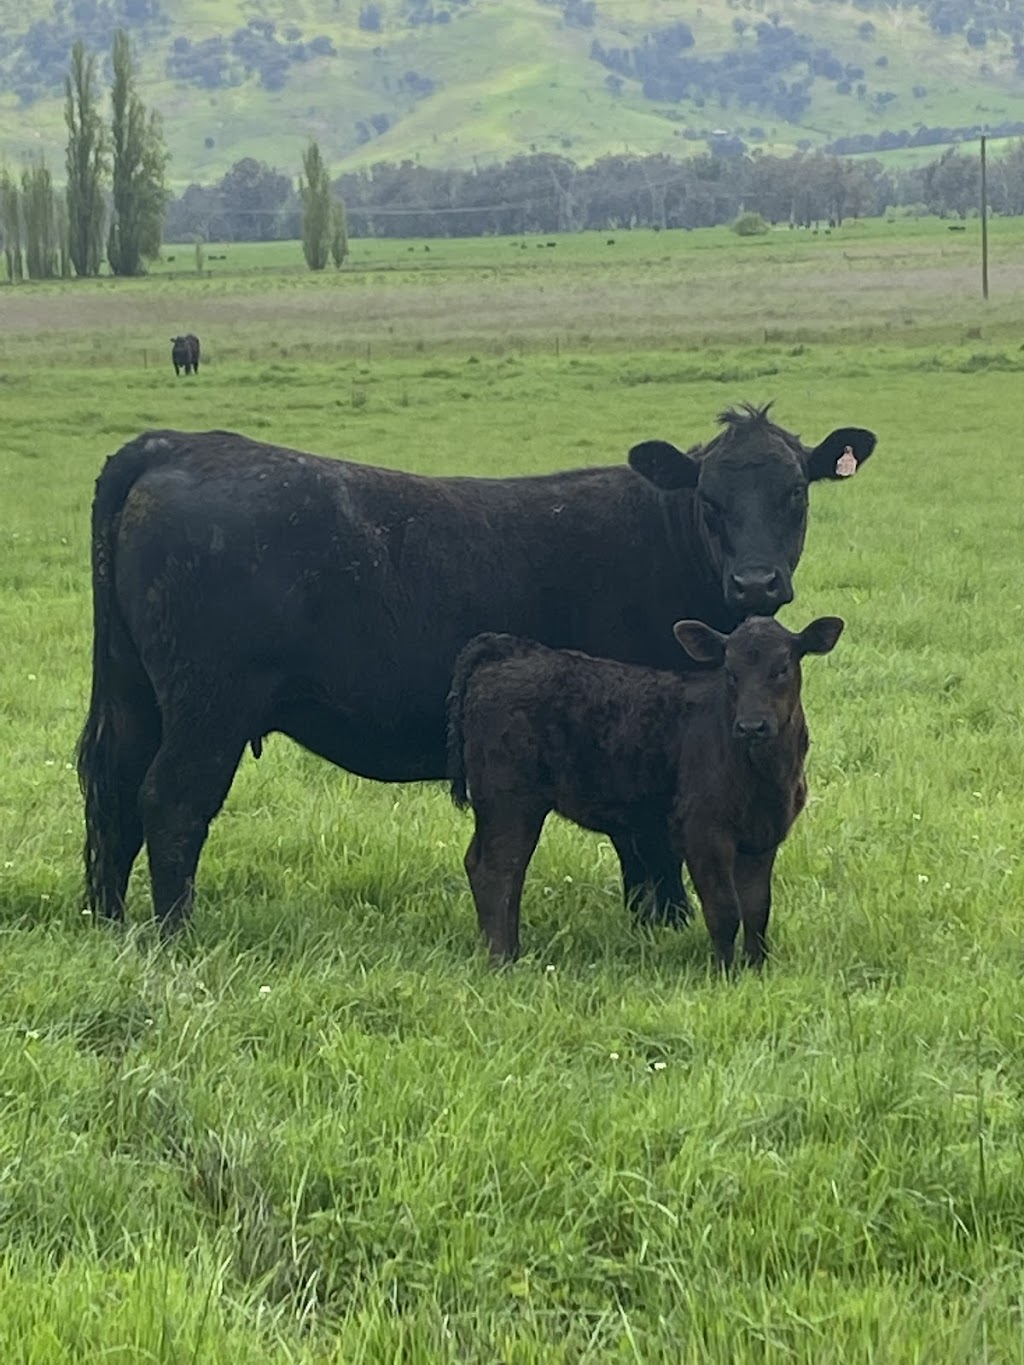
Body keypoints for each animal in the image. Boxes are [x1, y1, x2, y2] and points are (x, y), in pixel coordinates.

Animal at [446, 615, 844, 968]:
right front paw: (725, 972)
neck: (766, 777)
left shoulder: (763, 836)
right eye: (730, 672)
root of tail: (509, 649)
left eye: (782, 668)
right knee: (498, 869)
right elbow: (725, 908)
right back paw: (502, 958)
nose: (751, 726)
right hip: (509, 798)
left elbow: (758, 909)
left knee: (487, 865)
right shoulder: (704, 831)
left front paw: (756, 967)